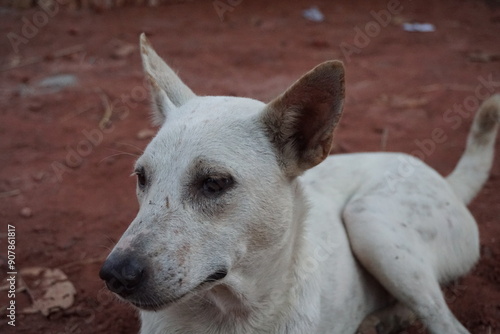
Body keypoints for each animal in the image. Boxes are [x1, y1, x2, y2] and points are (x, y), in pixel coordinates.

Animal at [99, 34, 498, 334]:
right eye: (141, 177)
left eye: (214, 183)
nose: (114, 275)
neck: (232, 315)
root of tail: (447, 183)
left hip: (370, 221)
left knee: (443, 319)